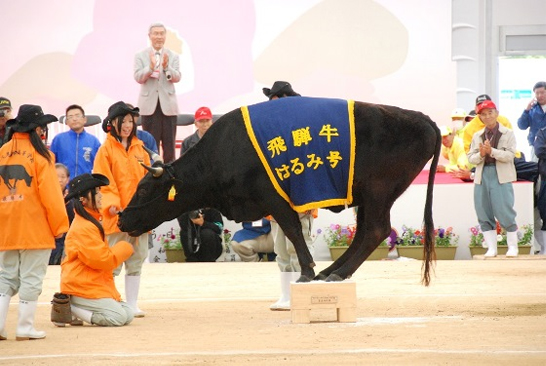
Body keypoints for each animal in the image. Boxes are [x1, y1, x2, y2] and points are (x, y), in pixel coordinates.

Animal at [118, 98, 438, 284]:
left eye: (144, 189)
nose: (122, 218)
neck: (223, 150)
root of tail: (423, 118)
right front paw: (311, 270)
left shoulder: (274, 198)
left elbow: (294, 232)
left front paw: (307, 271)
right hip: (369, 197)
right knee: (364, 233)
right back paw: (332, 271)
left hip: (377, 192)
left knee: (374, 230)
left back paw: (335, 273)